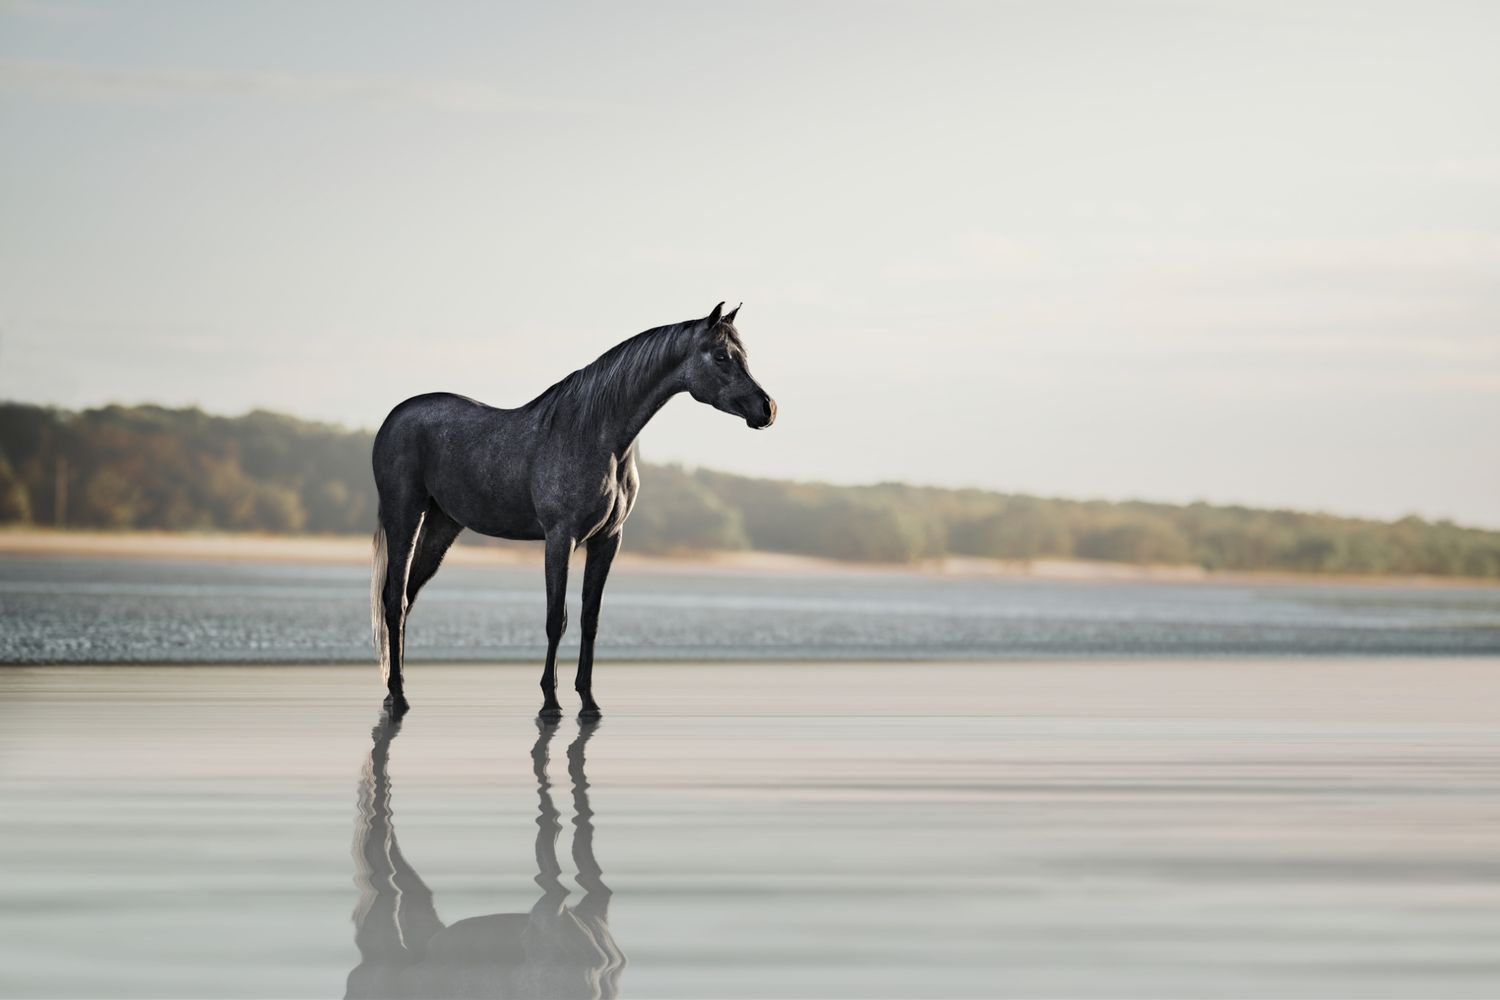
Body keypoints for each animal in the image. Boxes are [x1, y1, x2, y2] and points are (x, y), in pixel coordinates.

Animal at [371, 302, 775, 719]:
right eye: (722, 356)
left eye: (743, 354)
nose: (767, 408)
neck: (596, 437)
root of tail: (395, 417)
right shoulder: (560, 537)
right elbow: (556, 618)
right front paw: (550, 702)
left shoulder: (608, 540)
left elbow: (589, 618)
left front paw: (589, 701)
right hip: (405, 516)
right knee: (394, 599)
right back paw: (398, 695)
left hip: (442, 526)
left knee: (405, 597)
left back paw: (395, 687)